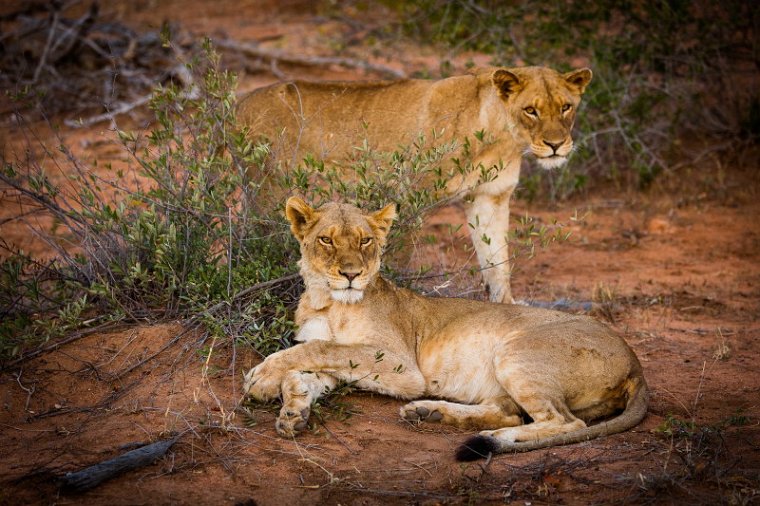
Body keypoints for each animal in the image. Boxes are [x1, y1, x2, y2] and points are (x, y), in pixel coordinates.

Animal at [239, 65, 592, 302]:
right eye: (531, 110)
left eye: (566, 107)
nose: (556, 145)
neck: (500, 137)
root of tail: (242, 100)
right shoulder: (411, 194)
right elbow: (400, 259)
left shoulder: (490, 198)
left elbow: (497, 263)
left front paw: (507, 309)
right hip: (268, 188)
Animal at [243, 198, 648, 458]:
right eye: (326, 240)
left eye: (365, 240)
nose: (351, 275)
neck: (325, 301)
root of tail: (636, 364)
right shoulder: (356, 366)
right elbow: (308, 371)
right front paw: (293, 409)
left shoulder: (400, 365)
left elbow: (316, 349)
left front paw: (260, 378)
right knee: (510, 411)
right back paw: (429, 413)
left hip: (517, 352)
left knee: (565, 422)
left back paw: (493, 436)